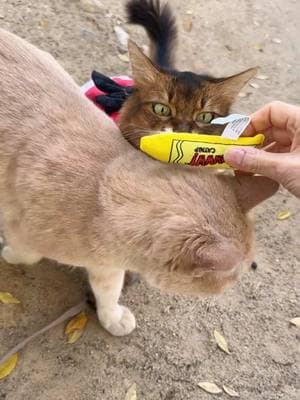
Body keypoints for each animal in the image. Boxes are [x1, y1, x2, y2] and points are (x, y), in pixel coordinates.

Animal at [0, 27, 278, 338]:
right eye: (235, 275)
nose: (231, 286)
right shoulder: (20, 230)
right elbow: (25, 254)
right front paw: (8, 252)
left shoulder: (108, 265)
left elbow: (109, 290)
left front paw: (111, 317)